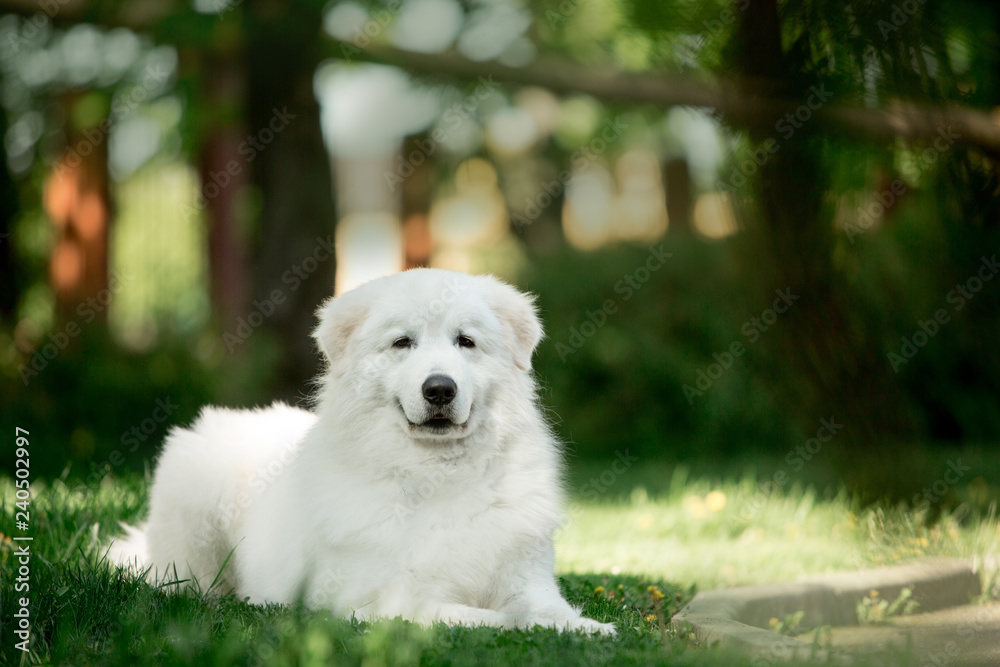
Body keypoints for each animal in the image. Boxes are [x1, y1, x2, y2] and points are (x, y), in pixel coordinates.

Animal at [107, 268, 608, 636]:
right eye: (403, 342)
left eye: (465, 341)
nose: (440, 389)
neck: (439, 476)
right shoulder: (381, 599)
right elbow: (480, 616)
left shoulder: (528, 577)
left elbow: (545, 609)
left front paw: (586, 627)